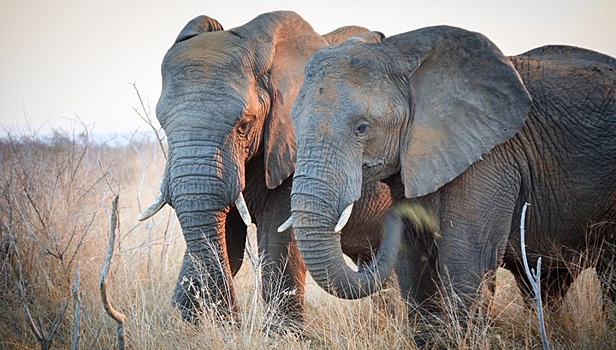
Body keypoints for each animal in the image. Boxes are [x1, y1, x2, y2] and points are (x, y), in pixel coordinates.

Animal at [137, 10, 392, 328]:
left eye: (244, 124)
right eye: (163, 124)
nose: (233, 322)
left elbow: (277, 241)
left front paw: (286, 335)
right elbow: (226, 240)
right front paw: (182, 326)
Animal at [288, 24, 616, 314]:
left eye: (362, 128)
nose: (392, 217)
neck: (400, 52)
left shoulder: (491, 160)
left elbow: (467, 267)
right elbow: (415, 271)